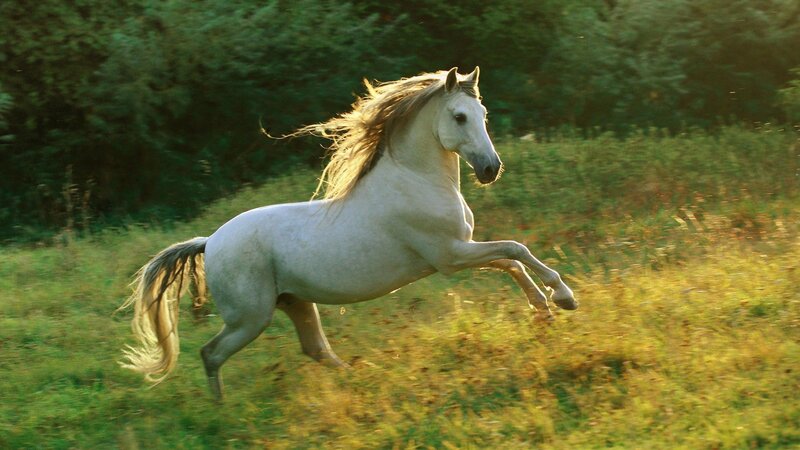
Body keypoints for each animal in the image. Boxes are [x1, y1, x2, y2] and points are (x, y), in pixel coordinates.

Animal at [118, 67, 578, 401]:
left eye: (483, 116)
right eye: (459, 117)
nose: (490, 169)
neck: (416, 180)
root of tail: (209, 242)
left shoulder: (459, 251)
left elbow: (511, 261)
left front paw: (545, 310)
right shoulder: (450, 256)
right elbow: (516, 250)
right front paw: (563, 297)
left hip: (294, 302)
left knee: (315, 349)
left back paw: (362, 379)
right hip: (250, 317)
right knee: (211, 353)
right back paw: (222, 410)